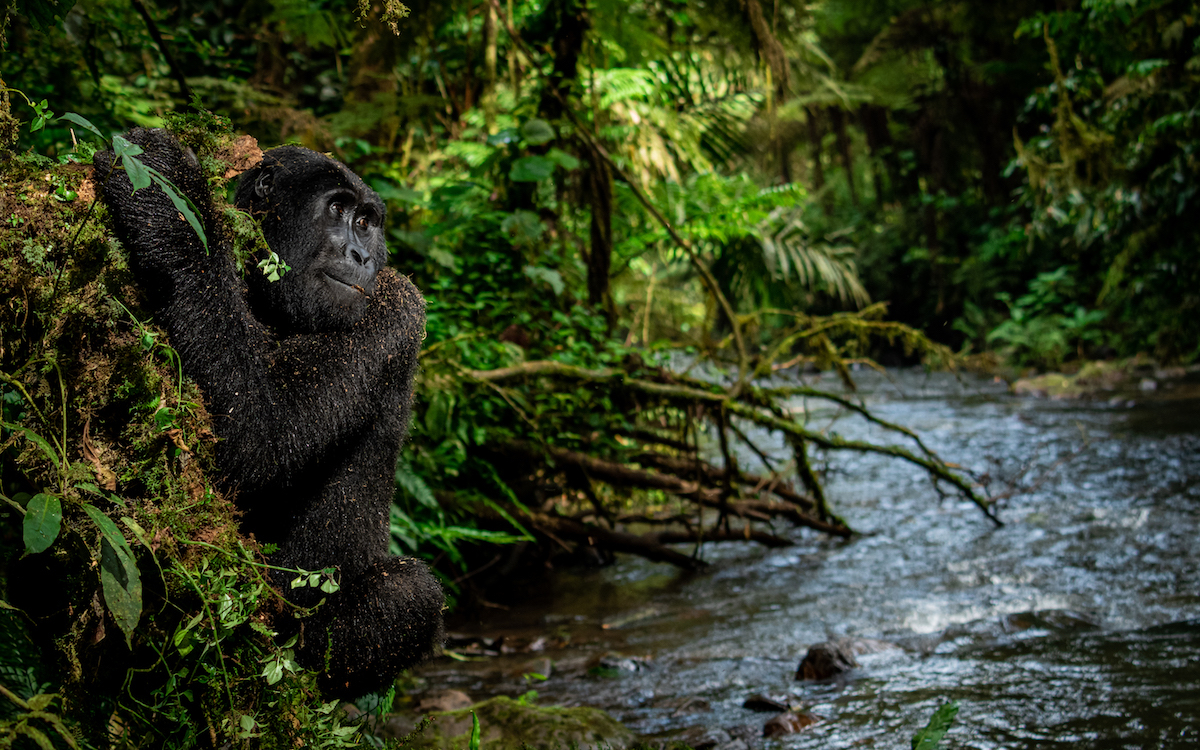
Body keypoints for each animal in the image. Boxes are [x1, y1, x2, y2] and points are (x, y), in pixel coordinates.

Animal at [94, 128, 446, 696]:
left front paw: (171, 200)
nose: (361, 255)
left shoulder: (395, 302)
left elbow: (263, 436)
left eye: (367, 223)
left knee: (412, 593)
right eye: (339, 210)